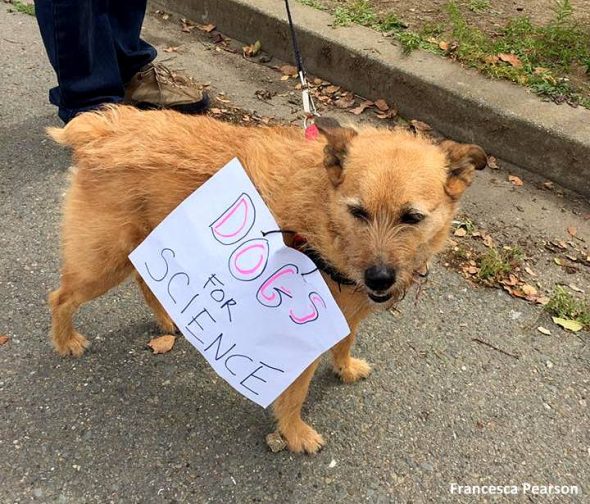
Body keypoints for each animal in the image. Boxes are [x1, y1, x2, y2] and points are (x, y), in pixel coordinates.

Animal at [49, 104, 486, 454]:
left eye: (412, 217)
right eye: (358, 212)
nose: (379, 279)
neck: (322, 216)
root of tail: (100, 132)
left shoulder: (344, 314)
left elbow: (344, 344)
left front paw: (344, 369)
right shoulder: (305, 335)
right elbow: (296, 393)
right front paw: (294, 434)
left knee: (144, 281)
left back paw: (167, 320)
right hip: (102, 265)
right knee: (60, 298)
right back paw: (66, 341)